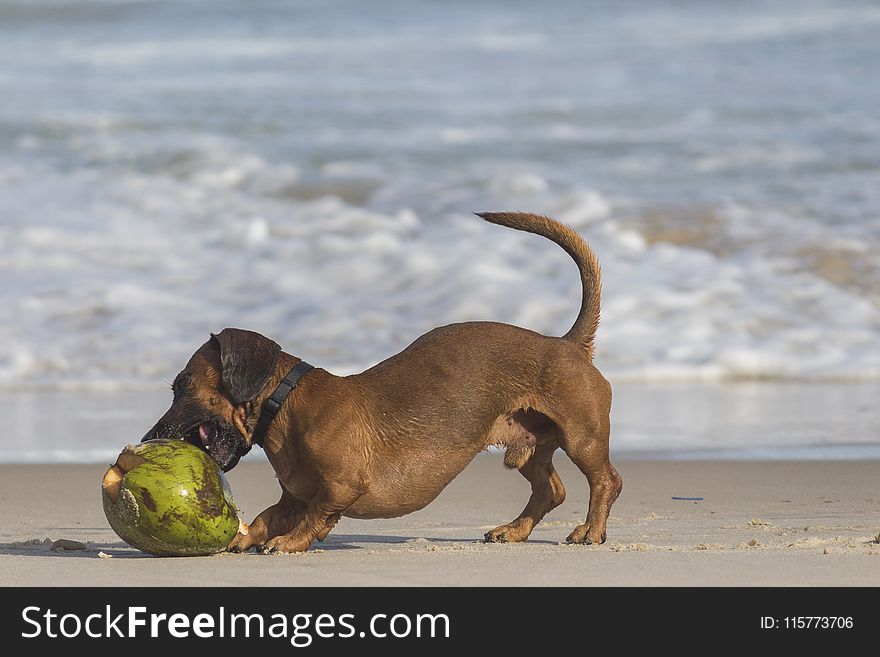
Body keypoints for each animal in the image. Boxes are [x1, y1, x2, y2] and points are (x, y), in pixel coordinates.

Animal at [143, 213, 620, 552]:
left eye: (183, 385)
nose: (149, 438)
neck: (289, 404)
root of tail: (567, 343)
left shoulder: (340, 487)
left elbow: (316, 516)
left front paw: (290, 542)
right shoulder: (293, 496)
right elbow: (269, 515)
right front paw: (247, 536)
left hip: (582, 438)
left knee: (606, 482)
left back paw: (590, 531)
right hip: (529, 450)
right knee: (551, 490)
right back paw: (515, 530)